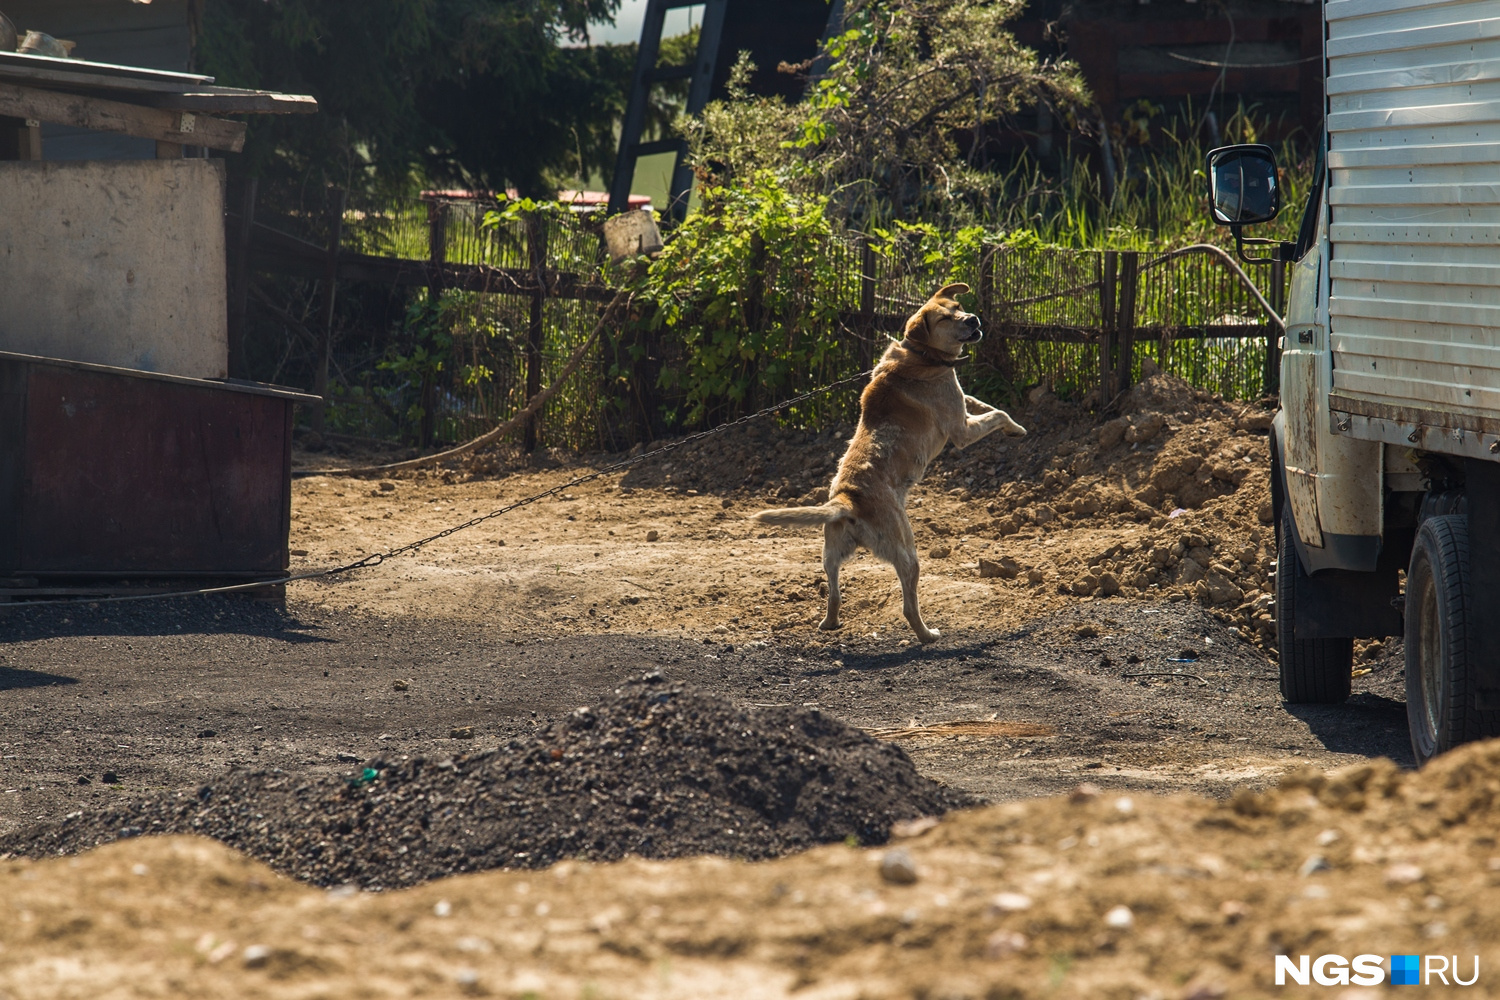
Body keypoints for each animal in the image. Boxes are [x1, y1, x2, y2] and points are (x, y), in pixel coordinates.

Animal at [756, 281, 1026, 641]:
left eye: (957, 306)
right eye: (945, 318)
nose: (972, 319)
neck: (920, 354)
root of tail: (847, 500)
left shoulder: (961, 402)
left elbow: (983, 403)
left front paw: (1013, 427)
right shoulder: (962, 430)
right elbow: (997, 413)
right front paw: (1018, 428)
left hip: (830, 555)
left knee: (834, 593)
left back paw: (831, 622)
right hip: (907, 551)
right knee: (909, 606)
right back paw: (928, 635)